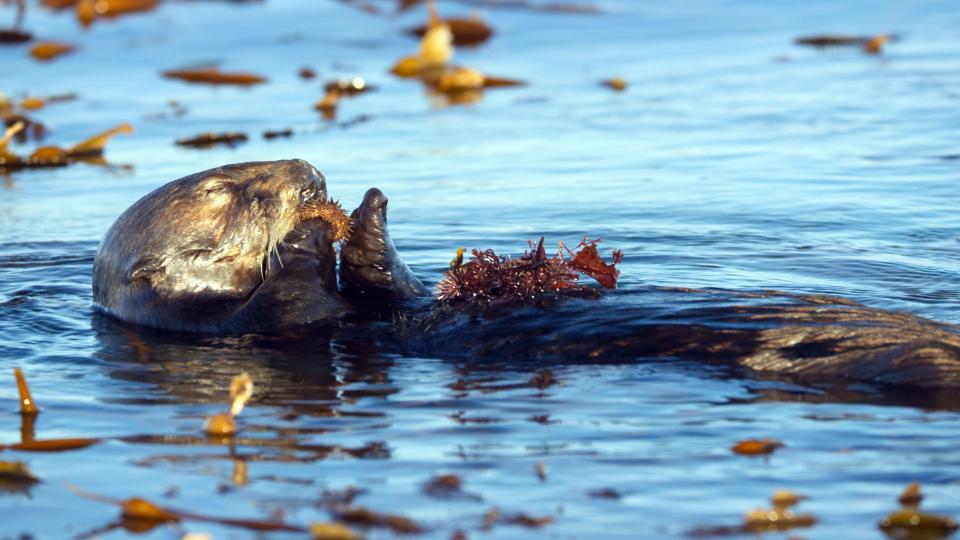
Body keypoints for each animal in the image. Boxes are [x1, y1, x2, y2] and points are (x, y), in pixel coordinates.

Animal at [94, 160, 960, 388]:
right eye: (223, 189)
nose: (308, 173)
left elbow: (388, 286)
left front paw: (366, 210)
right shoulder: (253, 330)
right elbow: (299, 303)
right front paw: (316, 229)